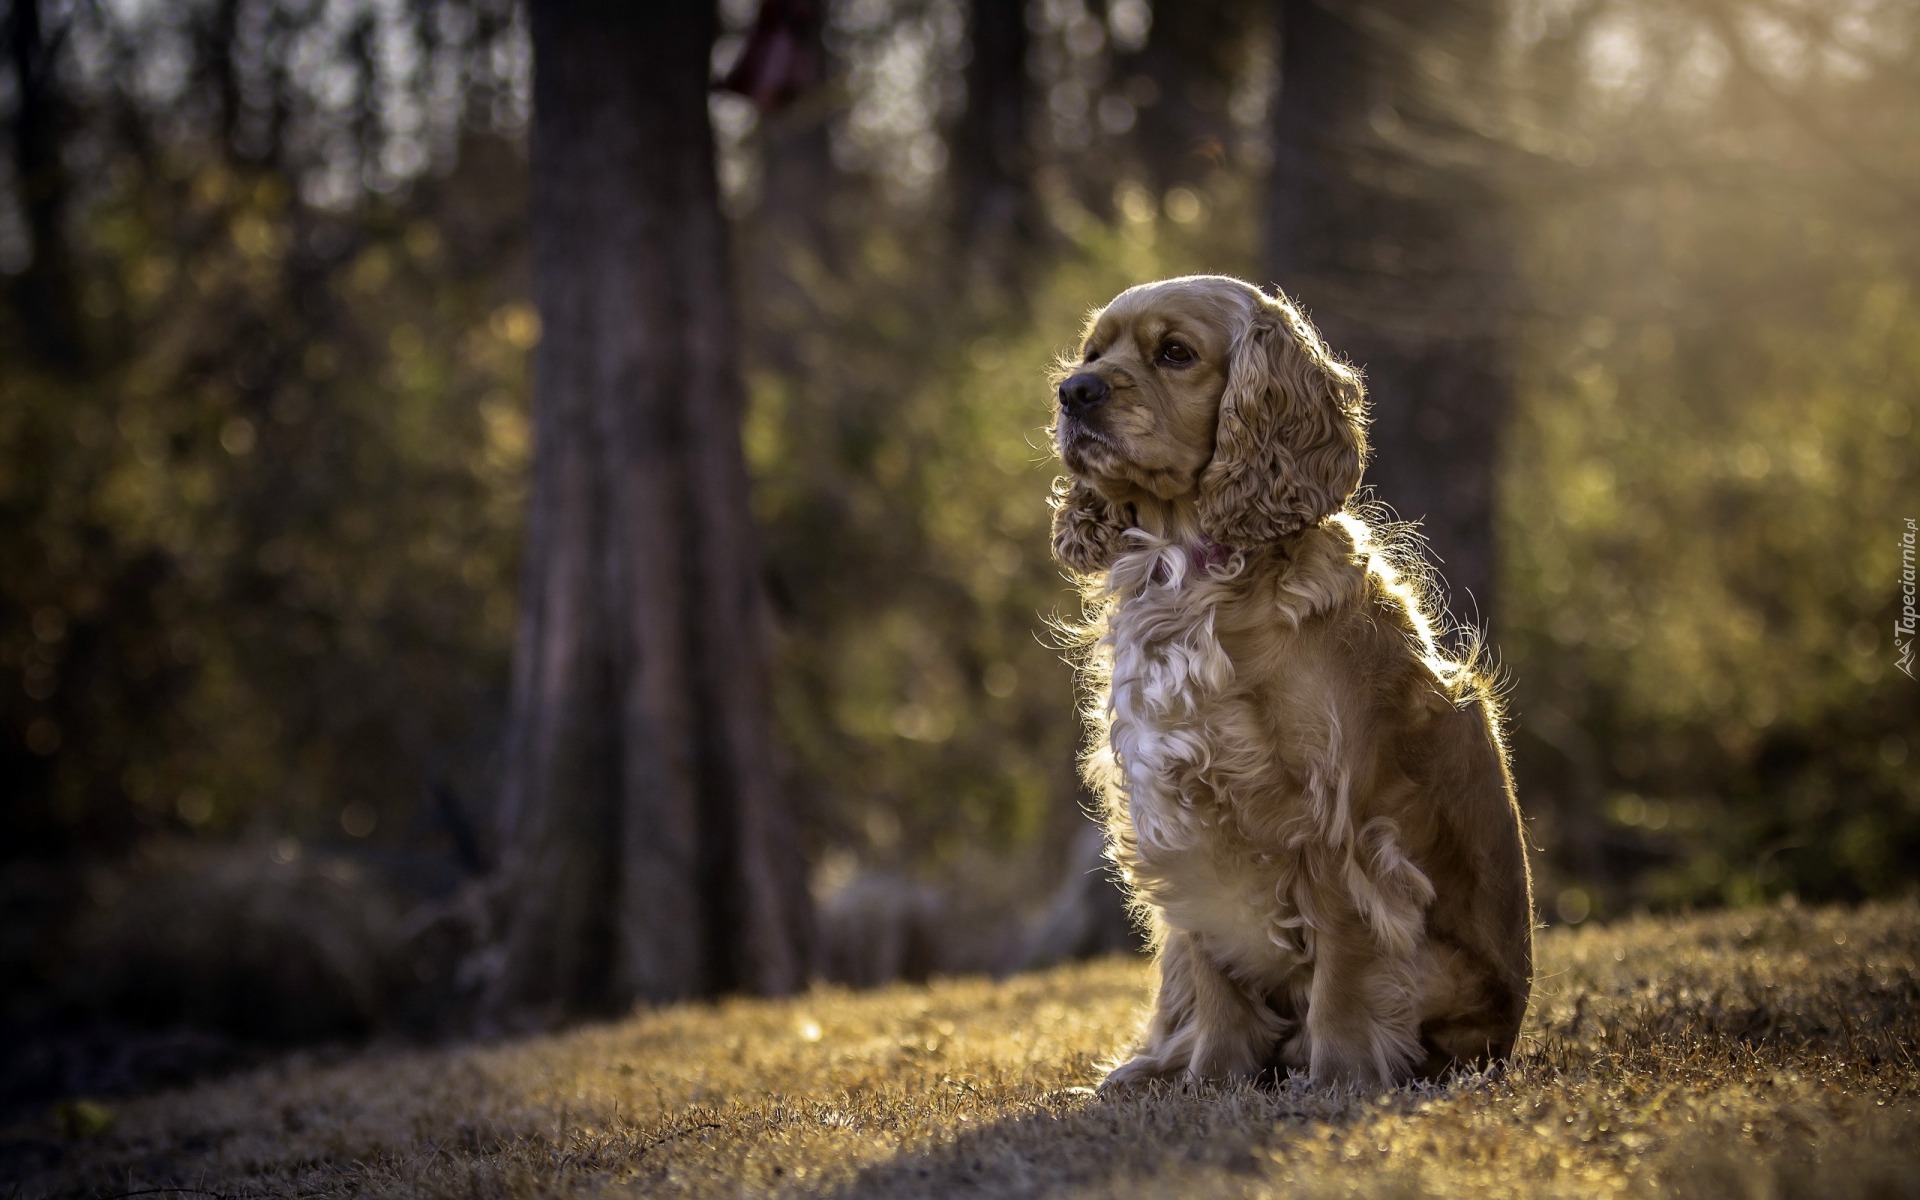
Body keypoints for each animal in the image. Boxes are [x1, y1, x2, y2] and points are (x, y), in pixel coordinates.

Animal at [1052, 276, 1528, 1090]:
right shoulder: (1178, 810)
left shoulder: (1336, 818)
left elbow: (1346, 955)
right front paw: (1213, 1079)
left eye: (1174, 352)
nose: (1073, 392)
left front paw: (1340, 1074)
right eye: (1093, 353)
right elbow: (1212, 967)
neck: (1195, 569)